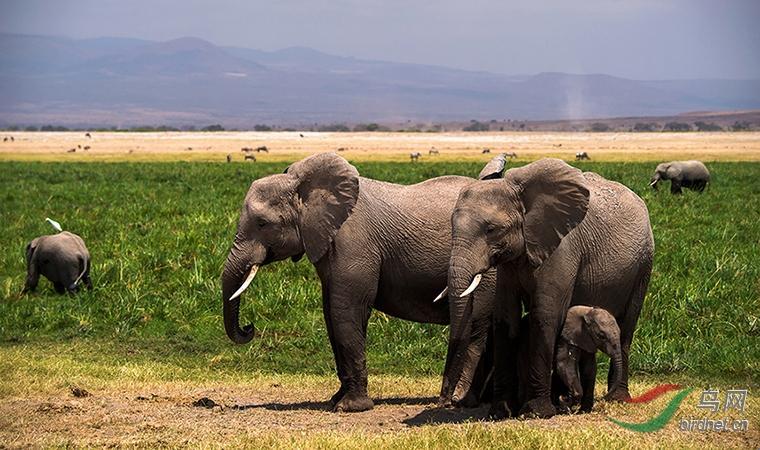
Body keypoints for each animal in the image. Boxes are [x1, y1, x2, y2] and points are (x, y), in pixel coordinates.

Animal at [221, 152, 504, 412]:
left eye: (262, 223)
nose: (249, 327)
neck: (303, 185)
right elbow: (331, 314)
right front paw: (335, 400)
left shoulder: (353, 243)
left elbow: (346, 311)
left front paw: (350, 407)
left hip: (486, 270)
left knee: (475, 328)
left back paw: (461, 401)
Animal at [446, 159, 652, 418]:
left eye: (491, 229)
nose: (449, 400)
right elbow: (506, 317)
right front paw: (500, 412)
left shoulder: (562, 248)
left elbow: (544, 315)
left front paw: (537, 412)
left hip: (643, 266)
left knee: (626, 327)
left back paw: (617, 398)